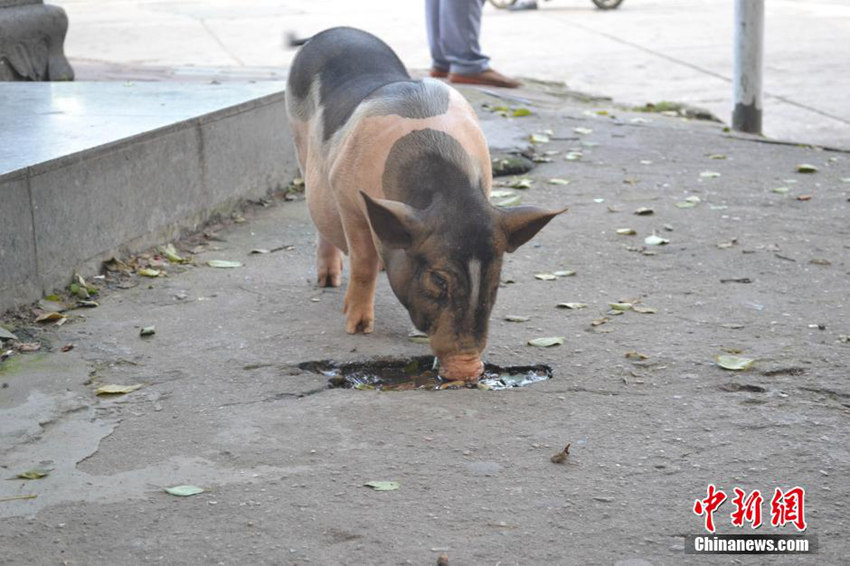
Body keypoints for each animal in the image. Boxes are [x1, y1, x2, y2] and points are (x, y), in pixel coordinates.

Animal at [284, 26, 564, 382]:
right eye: (438, 279)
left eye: (496, 276)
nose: (468, 368)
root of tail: (333, 31)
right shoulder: (349, 202)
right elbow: (362, 264)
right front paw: (357, 328)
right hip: (299, 143)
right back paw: (328, 281)